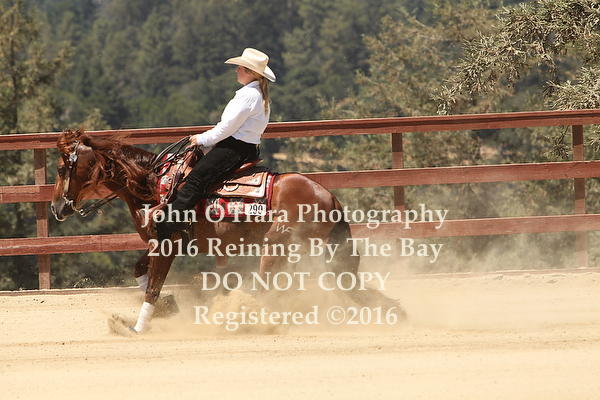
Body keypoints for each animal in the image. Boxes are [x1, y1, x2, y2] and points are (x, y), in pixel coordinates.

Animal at [51, 128, 405, 333]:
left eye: (61, 168)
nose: (56, 207)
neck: (153, 186)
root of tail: (329, 196)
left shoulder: (168, 243)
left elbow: (152, 286)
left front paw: (138, 327)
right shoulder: (159, 244)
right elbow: (140, 272)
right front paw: (168, 307)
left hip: (276, 247)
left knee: (267, 289)